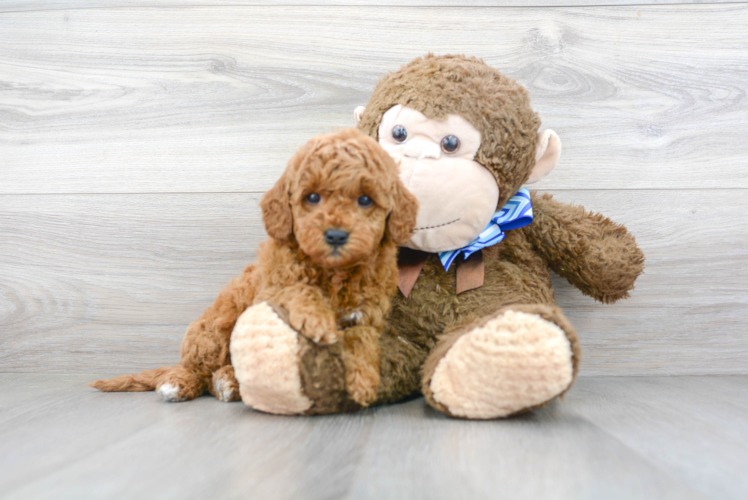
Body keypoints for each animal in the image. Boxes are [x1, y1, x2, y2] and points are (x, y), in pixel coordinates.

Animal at [90, 130, 418, 410]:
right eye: (312, 197)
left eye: (365, 199)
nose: (336, 235)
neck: (334, 272)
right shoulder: (272, 288)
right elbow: (299, 289)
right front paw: (318, 320)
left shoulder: (367, 314)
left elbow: (363, 341)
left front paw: (364, 382)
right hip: (214, 329)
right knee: (198, 368)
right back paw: (183, 383)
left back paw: (228, 382)